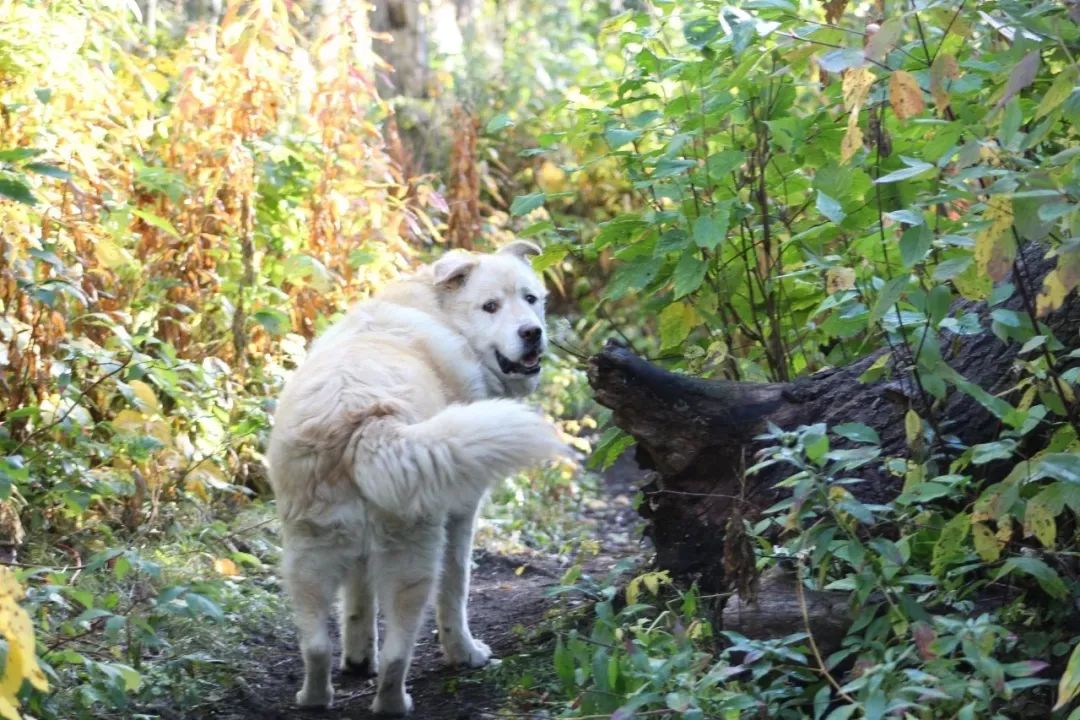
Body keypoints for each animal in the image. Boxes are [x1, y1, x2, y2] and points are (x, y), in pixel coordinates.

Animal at [265, 240, 561, 716]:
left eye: (530, 298)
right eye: (491, 306)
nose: (531, 332)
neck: (443, 314)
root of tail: (366, 421)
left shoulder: (357, 553)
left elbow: (358, 602)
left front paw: (357, 659)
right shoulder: (461, 515)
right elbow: (456, 592)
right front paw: (467, 654)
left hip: (305, 556)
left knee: (315, 646)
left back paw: (314, 698)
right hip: (414, 560)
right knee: (399, 652)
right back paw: (395, 701)